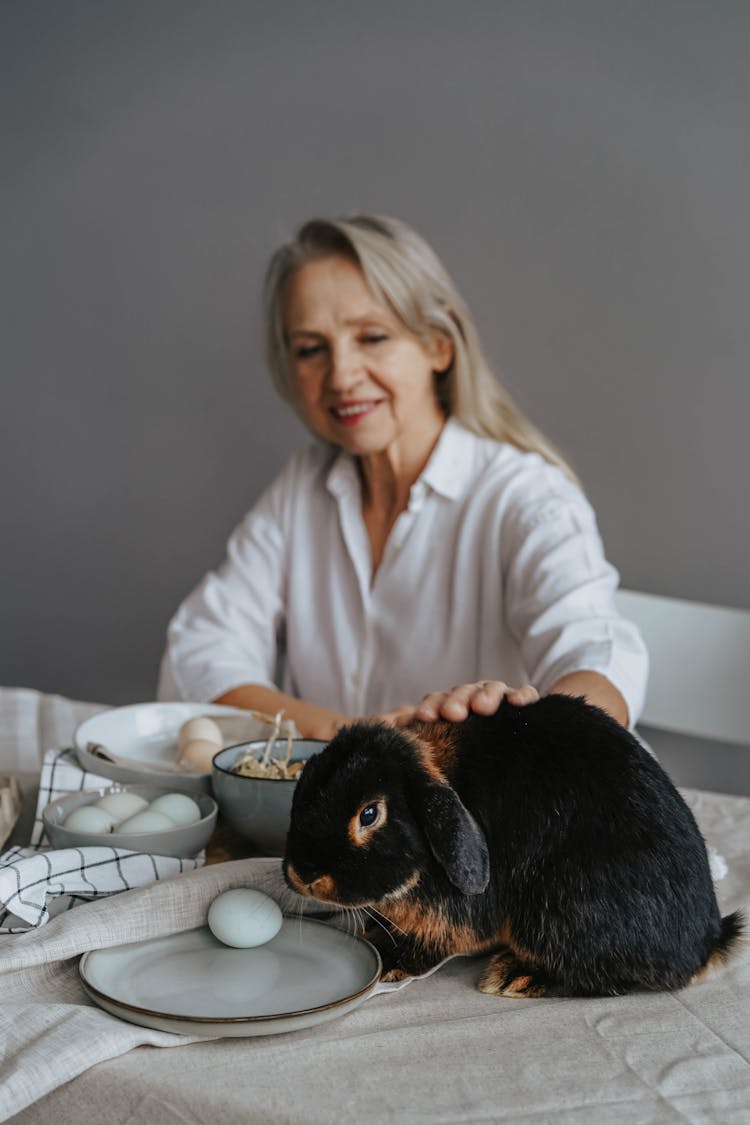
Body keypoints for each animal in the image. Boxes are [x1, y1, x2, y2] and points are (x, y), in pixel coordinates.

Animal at [283, 697, 746, 999]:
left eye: (369, 814)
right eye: (301, 788)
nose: (303, 875)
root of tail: (705, 943)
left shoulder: (457, 913)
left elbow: (433, 940)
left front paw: (389, 960)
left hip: (562, 910)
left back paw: (514, 976)